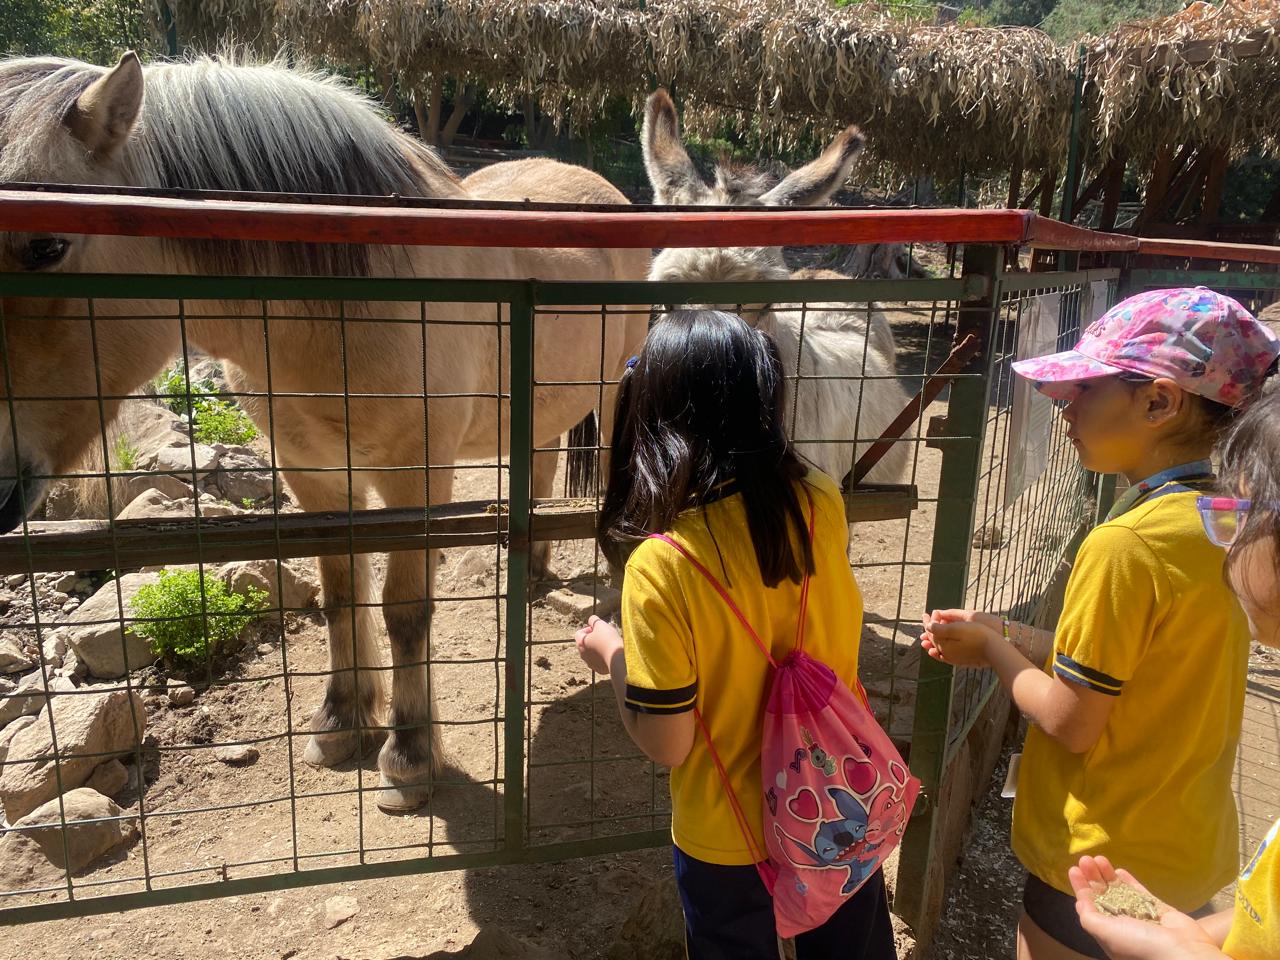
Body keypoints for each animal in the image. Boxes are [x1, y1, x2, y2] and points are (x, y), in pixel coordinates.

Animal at [0, 52, 649, 812]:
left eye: (47, 244)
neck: (350, 306)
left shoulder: (414, 480)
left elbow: (404, 611)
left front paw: (408, 756)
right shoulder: (312, 473)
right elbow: (341, 593)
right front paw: (342, 721)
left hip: (614, 395)